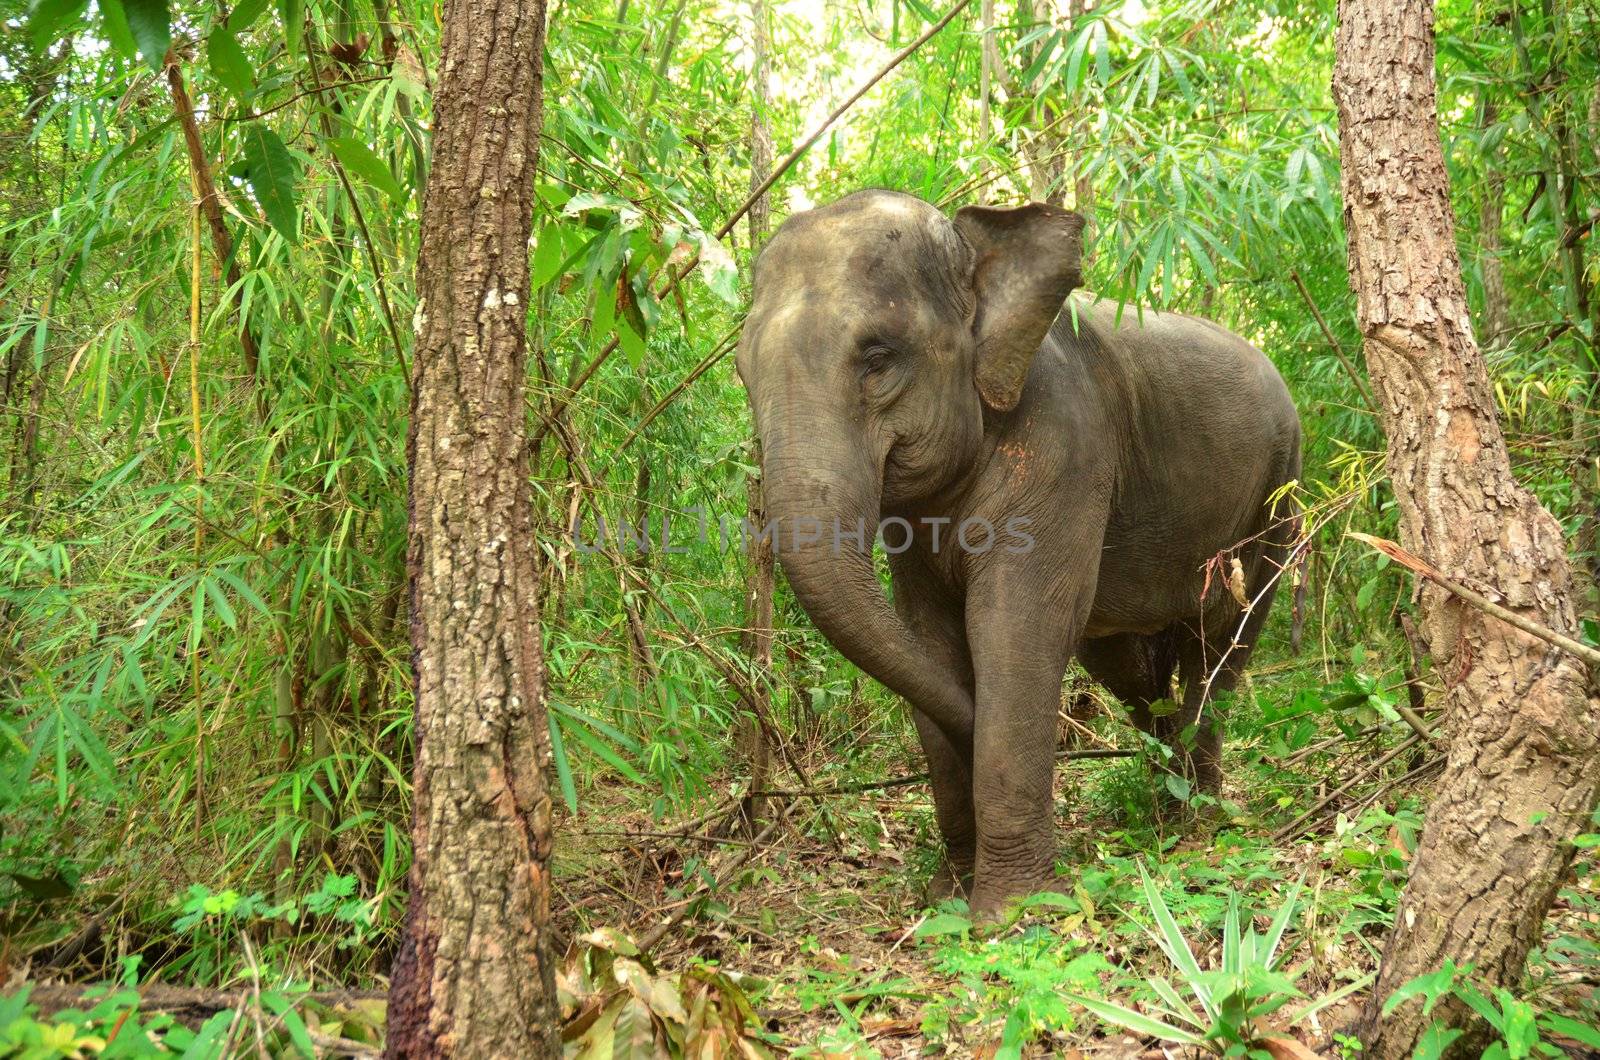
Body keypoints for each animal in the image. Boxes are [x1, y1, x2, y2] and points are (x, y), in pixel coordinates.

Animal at [736, 188, 1299, 915]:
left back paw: (1193, 817)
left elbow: (1015, 628)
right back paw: (1163, 797)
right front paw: (948, 895)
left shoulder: (1066, 446)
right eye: (742, 372)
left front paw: (1013, 912)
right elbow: (930, 640)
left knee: (1221, 641)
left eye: (877, 356)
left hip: (1278, 494)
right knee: (1128, 667)